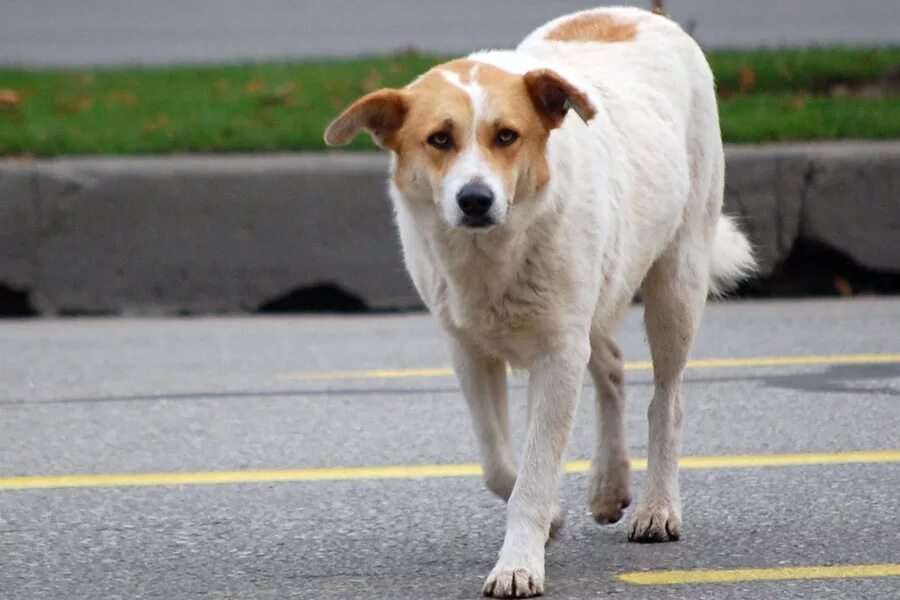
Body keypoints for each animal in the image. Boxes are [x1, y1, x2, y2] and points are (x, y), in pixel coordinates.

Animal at [324, 5, 752, 600]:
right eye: (439, 139)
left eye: (507, 135)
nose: (475, 199)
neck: (491, 255)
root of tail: (637, 13)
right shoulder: (469, 351)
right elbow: (500, 466)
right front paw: (550, 518)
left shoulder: (557, 355)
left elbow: (533, 471)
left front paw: (518, 564)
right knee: (611, 366)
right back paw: (609, 484)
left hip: (677, 280)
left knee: (667, 401)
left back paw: (657, 507)